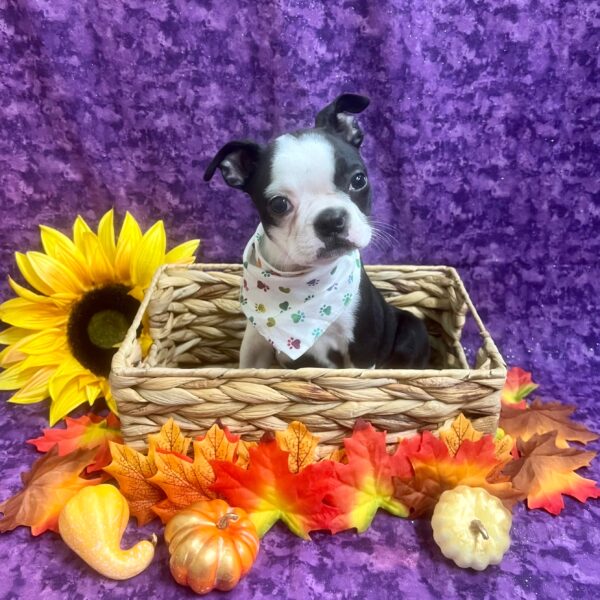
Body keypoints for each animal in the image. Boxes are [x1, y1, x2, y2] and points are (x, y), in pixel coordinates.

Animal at [204, 92, 428, 370]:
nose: (331, 220)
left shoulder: (362, 351)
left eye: (358, 180)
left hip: (414, 330)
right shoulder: (255, 343)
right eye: (279, 204)